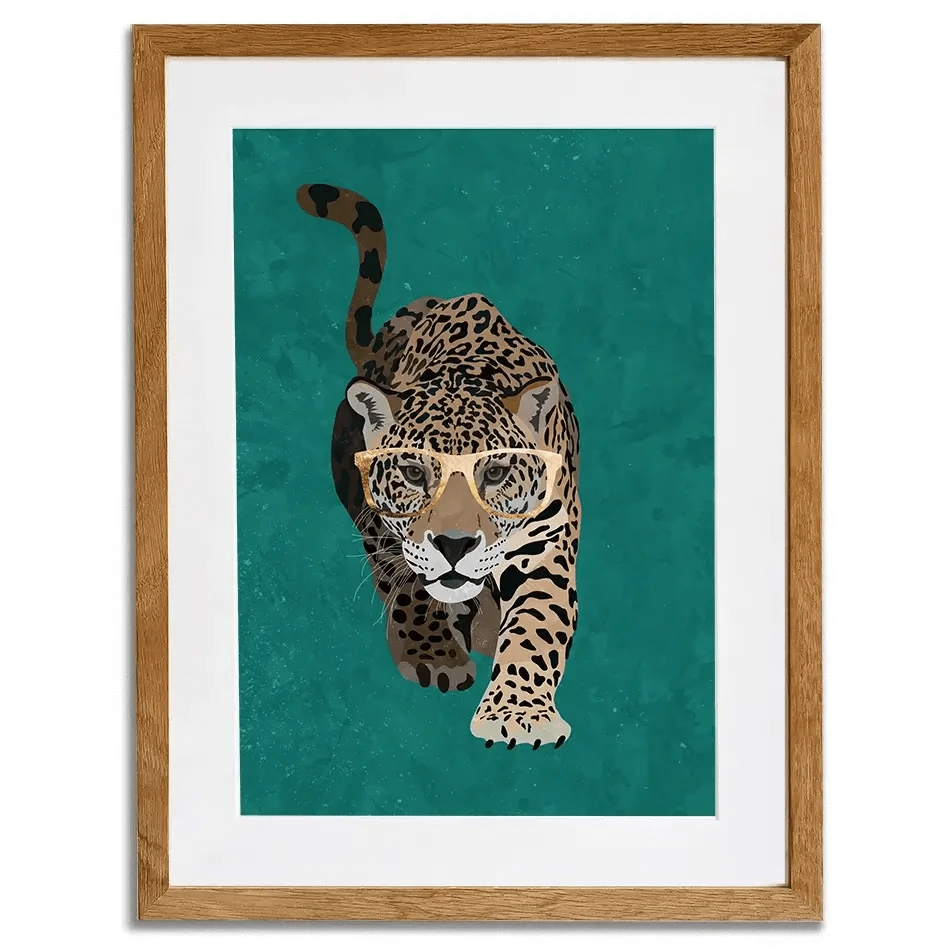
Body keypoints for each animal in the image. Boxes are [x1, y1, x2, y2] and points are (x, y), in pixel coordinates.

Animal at [297, 183, 581, 749]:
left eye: (494, 473)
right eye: (413, 472)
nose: (454, 546)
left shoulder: (546, 543)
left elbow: (537, 624)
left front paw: (518, 714)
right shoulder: (386, 527)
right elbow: (409, 584)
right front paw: (434, 655)